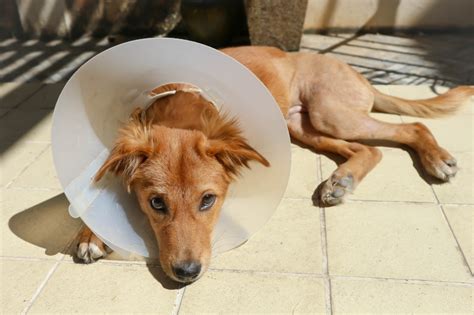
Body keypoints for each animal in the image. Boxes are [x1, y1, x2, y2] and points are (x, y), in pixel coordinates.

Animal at [76, 45, 472, 284]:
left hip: (331, 113)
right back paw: (340, 181)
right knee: (367, 150)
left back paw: (437, 159)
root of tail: (355, 71)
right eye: (156, 203)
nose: (187, 272)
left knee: (411, 127)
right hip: (305, 127)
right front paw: (89, 233)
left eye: (208, 200)